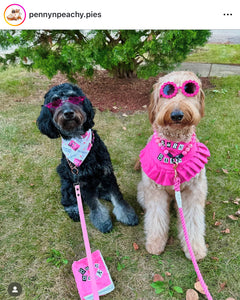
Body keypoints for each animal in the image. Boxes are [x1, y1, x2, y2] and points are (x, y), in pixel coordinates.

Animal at [37, 83, 139, 233]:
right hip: (67, 183)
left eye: (74, 98)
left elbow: (117, 196)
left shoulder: (107, 173)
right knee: (67, 199)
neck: (78, 139)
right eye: (55, 102)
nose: (68, 113)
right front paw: (102, 222)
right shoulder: (82, 182)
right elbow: (94, 204)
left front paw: (127, 215)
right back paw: (74, 210)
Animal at [137, 71, 210, 260]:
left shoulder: (194, 191)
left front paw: (194, 248)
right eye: (167, 91)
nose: (177, 114)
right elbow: (156, 217)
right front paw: (155, 243)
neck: (174, 149)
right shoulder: (155, 190)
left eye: (189, 89)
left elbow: (193, 221)